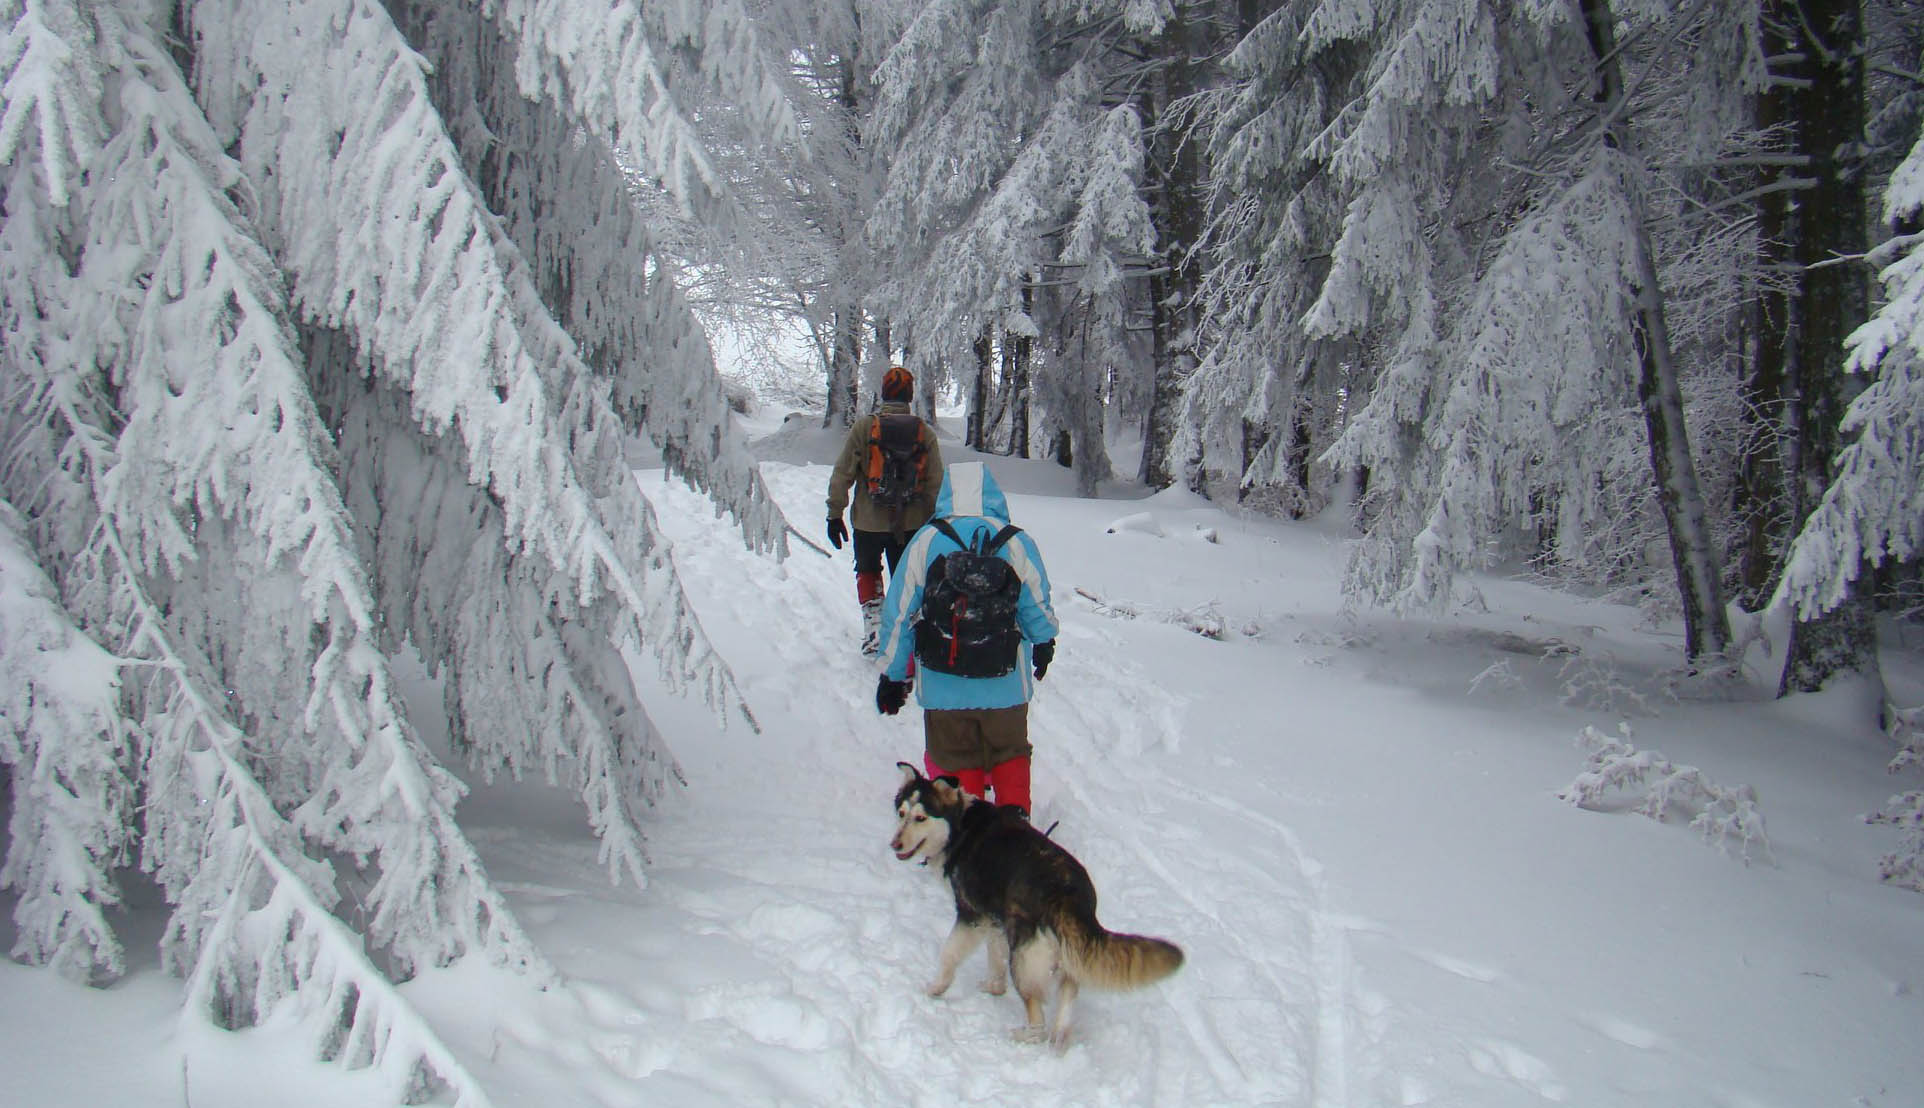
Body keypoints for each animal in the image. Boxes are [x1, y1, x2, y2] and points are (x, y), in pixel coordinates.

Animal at [888, 761, 1185, 1046]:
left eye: (921, 818)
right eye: (901, 813)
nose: (894, 845)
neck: (960, 828)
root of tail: (1068, 892)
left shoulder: (972, 916)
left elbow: (949, 955)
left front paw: (935, 988)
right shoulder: (995, 920)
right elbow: (995, 956)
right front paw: (994, 987)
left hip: (1023, 958)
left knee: (1037, 1020)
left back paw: (1023, 1037)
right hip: (1060, 952)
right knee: (1068, 991)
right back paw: (1061, 1037)